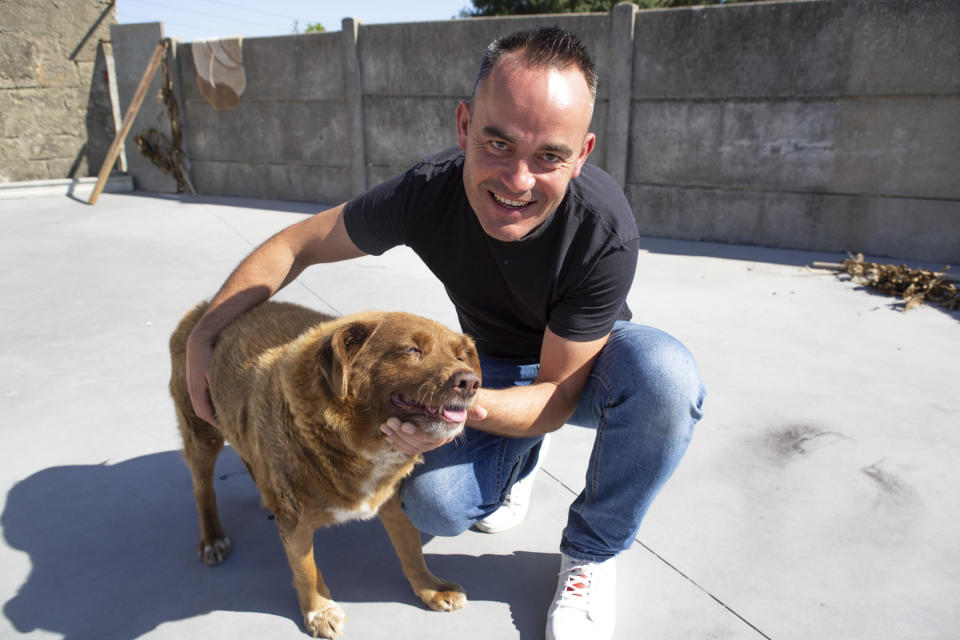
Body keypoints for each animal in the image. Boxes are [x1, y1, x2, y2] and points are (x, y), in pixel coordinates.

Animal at [170, 302, 484, 636]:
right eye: (412, 349)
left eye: (460, 356)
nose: (470, 383)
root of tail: (203, 308)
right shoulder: (294, 521)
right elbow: (307, 570)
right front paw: (318, 611)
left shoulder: (392, 503)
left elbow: (412, 553)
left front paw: (430, 589)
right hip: (202, 434)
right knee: (203, 488)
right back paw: (212, 538)